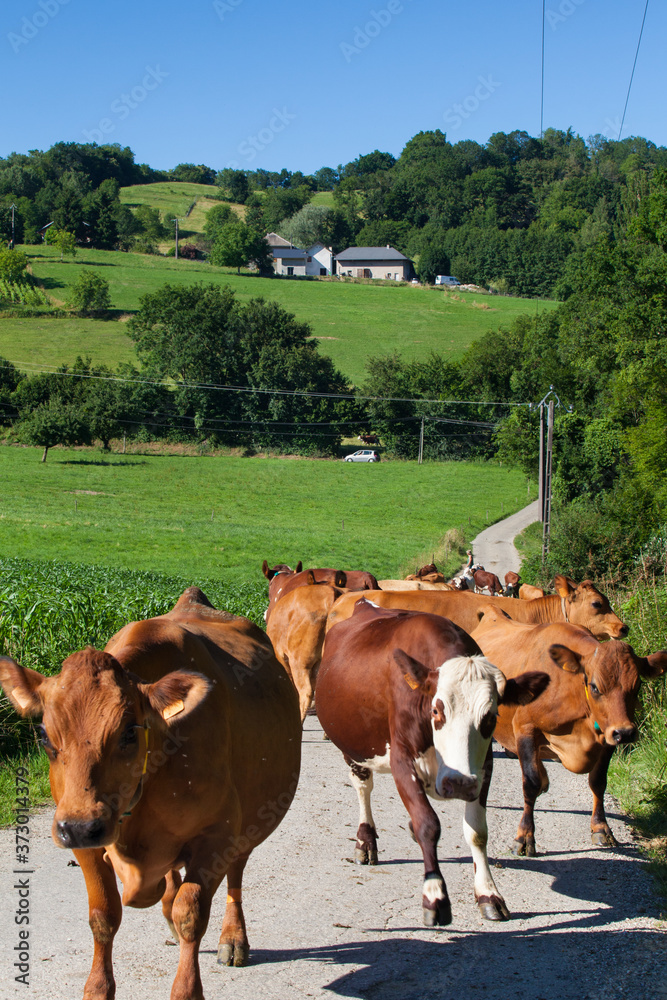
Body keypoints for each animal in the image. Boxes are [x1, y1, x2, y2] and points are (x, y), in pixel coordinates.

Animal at [316, 596, 552, 924]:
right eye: (436, 710)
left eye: (491, 717)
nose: (458, 783)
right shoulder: (402, 760)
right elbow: (428, 824)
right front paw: (435, 897)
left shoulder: (483, 768)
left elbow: (477, 832)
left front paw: (489, 893)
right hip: (354, 748)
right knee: (363, 788)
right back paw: (366, 841)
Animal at [472, 608, 664, 860]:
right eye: (594, 686)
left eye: (638, 686)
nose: (626, 733)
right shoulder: (524, 727)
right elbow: (530, 783)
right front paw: (524, 837)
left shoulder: (607, 737)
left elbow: (598, 782)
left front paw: (601, 828)